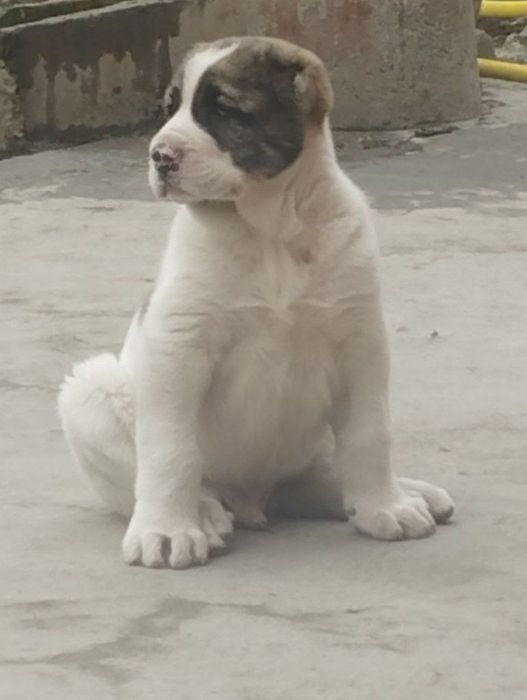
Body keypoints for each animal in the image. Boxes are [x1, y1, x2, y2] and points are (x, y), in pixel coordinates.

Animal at [58, 37, 454, 569]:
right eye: (170, 108)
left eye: (225, 109)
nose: (160, 155)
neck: (272, 230)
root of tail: (252, 499)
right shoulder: (177, 346)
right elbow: (170, 449)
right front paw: (167, 530)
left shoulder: (361, 341)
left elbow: (370, 433)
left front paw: (384, 506)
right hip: (90, 390)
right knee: (162, 480)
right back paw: (204, 514)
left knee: (322, 475)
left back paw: (406, 492)